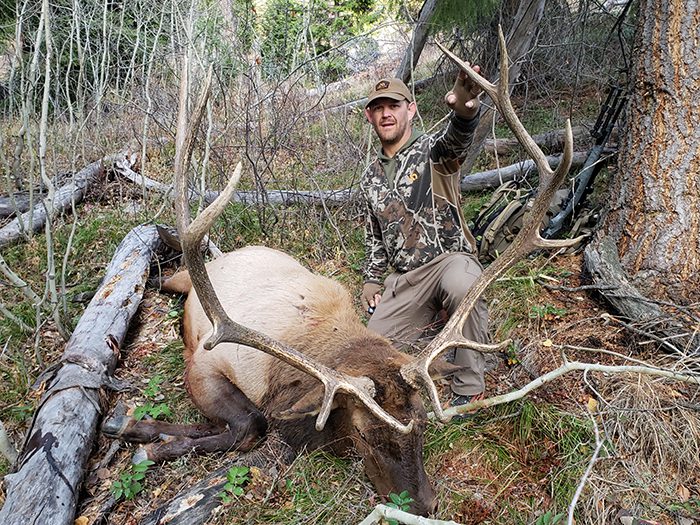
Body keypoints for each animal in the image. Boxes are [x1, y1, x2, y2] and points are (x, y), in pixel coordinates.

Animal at [102, 29, 581, 517]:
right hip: (188, 283)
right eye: (365, 434)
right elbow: (252, 423)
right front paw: (139, 435)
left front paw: (133, 430)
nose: (424, 504)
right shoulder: (205, 360)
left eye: (423, 423)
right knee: (166, 278)